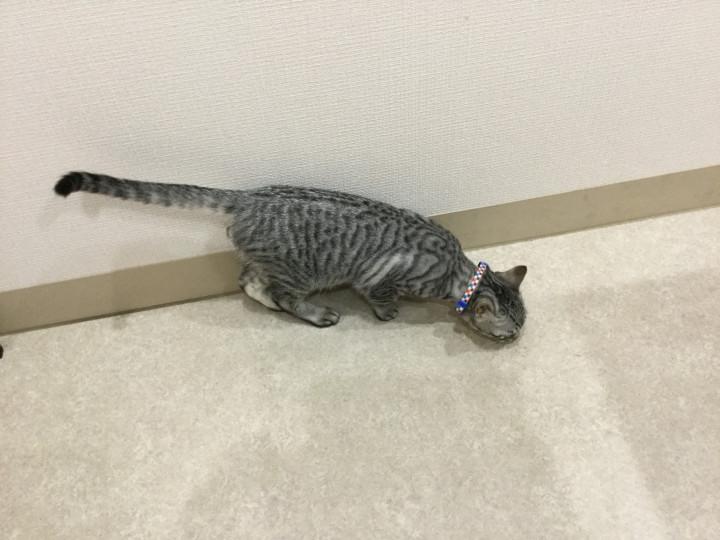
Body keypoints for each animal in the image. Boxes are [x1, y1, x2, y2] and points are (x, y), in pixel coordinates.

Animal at [54, 172, 527, 341]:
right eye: (510, 330)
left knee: (247, 281)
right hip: (302, 273)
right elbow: (380, 298)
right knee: (280, 294)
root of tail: (247, 198)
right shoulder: (378, 280)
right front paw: (390, 313)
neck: (457, 271)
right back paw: (316, 314)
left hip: (265, 260)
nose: (518, 339)